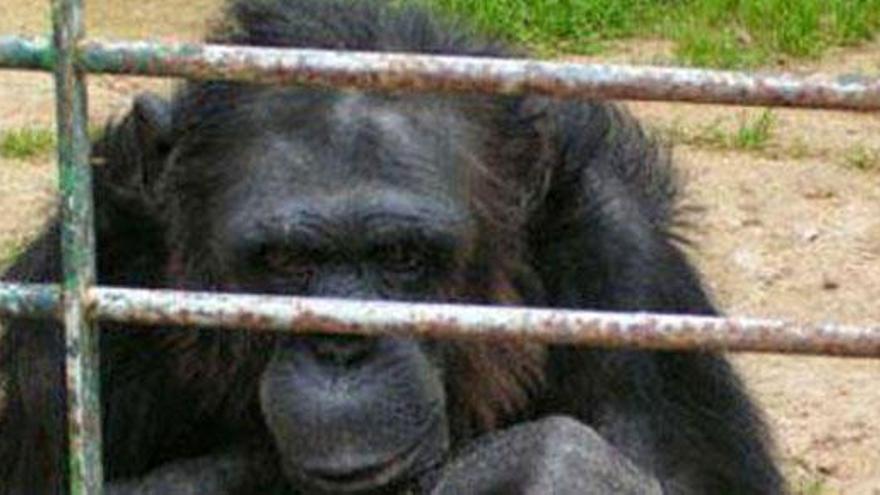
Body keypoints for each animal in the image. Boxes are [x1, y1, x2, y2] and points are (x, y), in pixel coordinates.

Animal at [0, 0, 784, 495]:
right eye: (287, 262)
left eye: (403, 258)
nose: (344, 347)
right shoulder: (74, 307)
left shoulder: (627, 275)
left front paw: (550, 469)